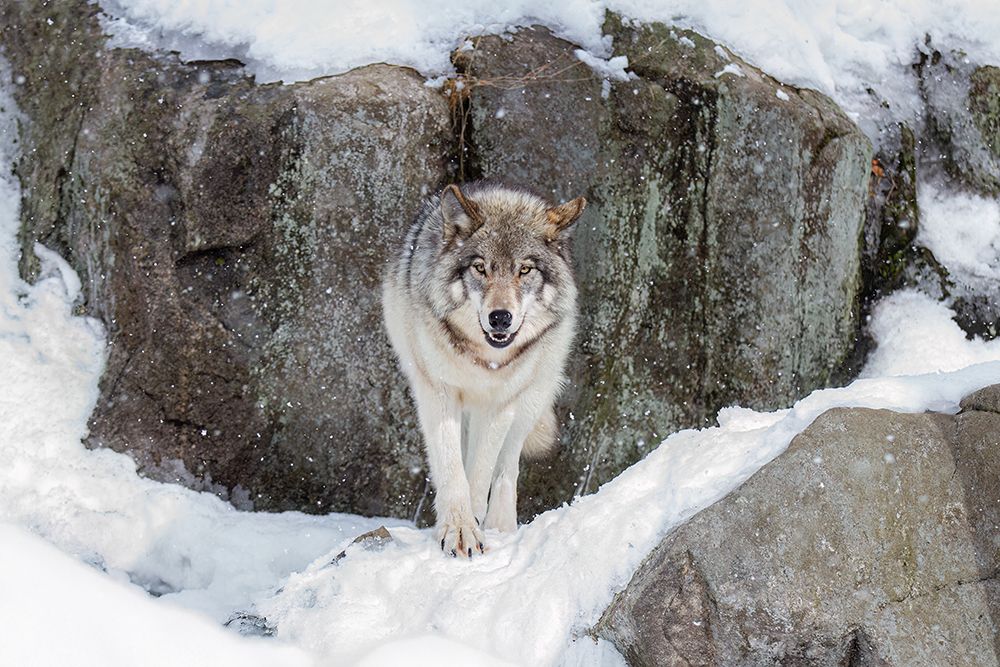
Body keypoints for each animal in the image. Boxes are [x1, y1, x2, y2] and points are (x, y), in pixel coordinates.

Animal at [382, 181, 585, 557]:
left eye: (524, 270)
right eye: (480, 268)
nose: (500, 317)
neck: (482, 359)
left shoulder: (498, 403)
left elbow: (481, 471)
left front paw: (474, 526)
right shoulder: (438, 393)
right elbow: (451, 467)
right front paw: (458, 529)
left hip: (532, 397)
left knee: (508, 464)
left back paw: (501, 526)